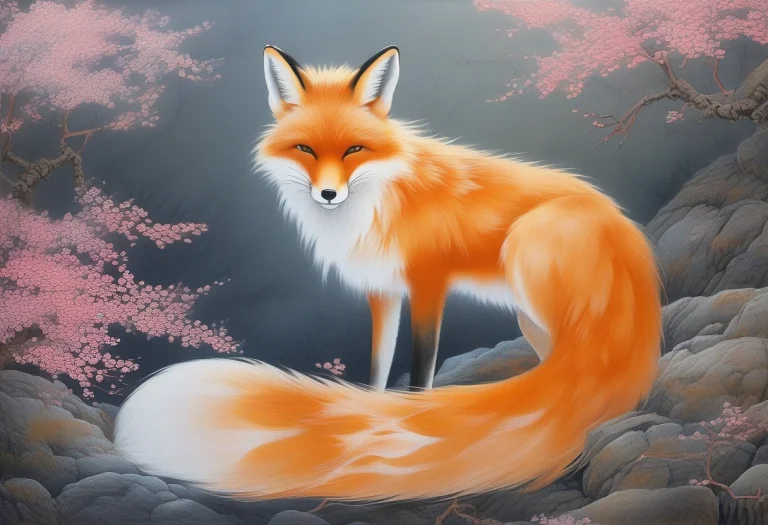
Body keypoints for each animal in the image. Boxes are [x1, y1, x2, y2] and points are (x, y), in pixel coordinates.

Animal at [113, 45, 662, 503]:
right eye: (306, 150)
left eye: (353, 150)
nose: (328, 195)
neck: (378, 202)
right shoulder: (381, 289)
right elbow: (377, 369)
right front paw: (371, 408)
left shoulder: (428, 285)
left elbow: (419, 373)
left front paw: (413, 419)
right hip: (533, 321)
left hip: (526, 253)